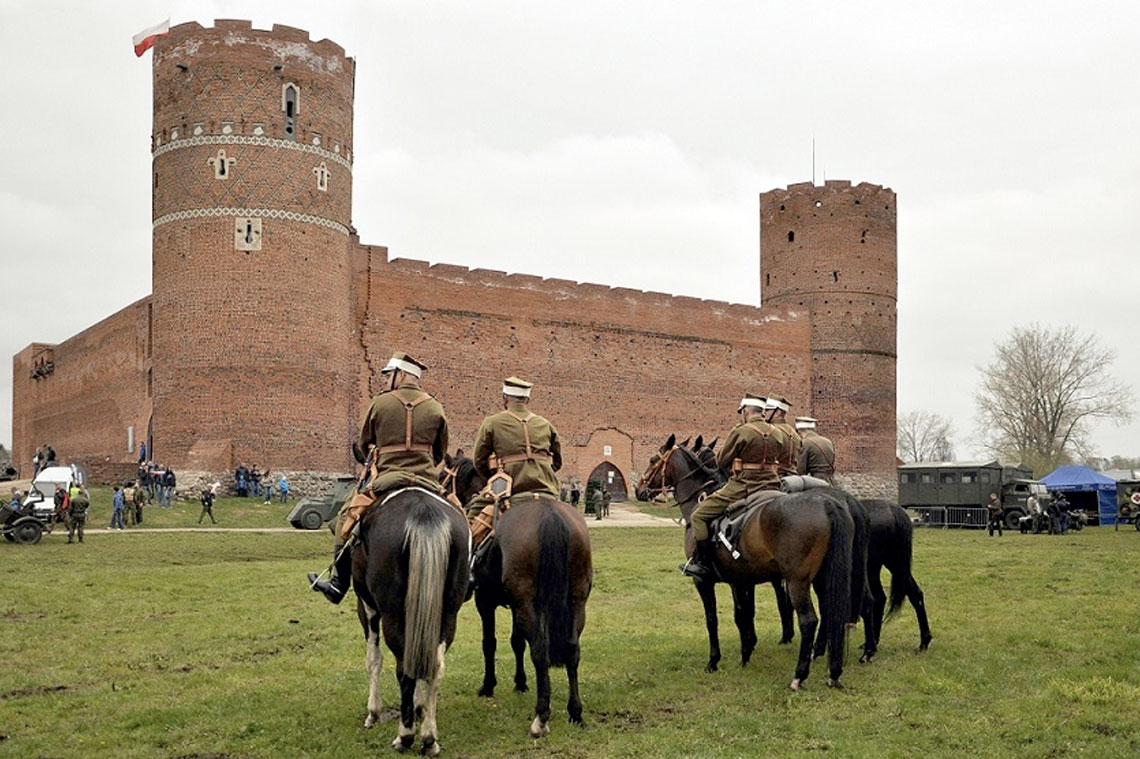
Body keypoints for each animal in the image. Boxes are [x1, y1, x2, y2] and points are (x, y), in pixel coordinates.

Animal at [661, 437, 857, 683]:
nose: (640, 489)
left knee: (809, 620)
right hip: (824, 576)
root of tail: (827, 503)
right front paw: (747, 651)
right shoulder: (741, 580)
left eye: (653, 459)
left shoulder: (704, 582)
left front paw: (714, 661)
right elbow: (744, 613)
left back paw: (800, 674)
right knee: (830, 609)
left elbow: (713, 619)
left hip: (798, 580)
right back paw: (829, 664)